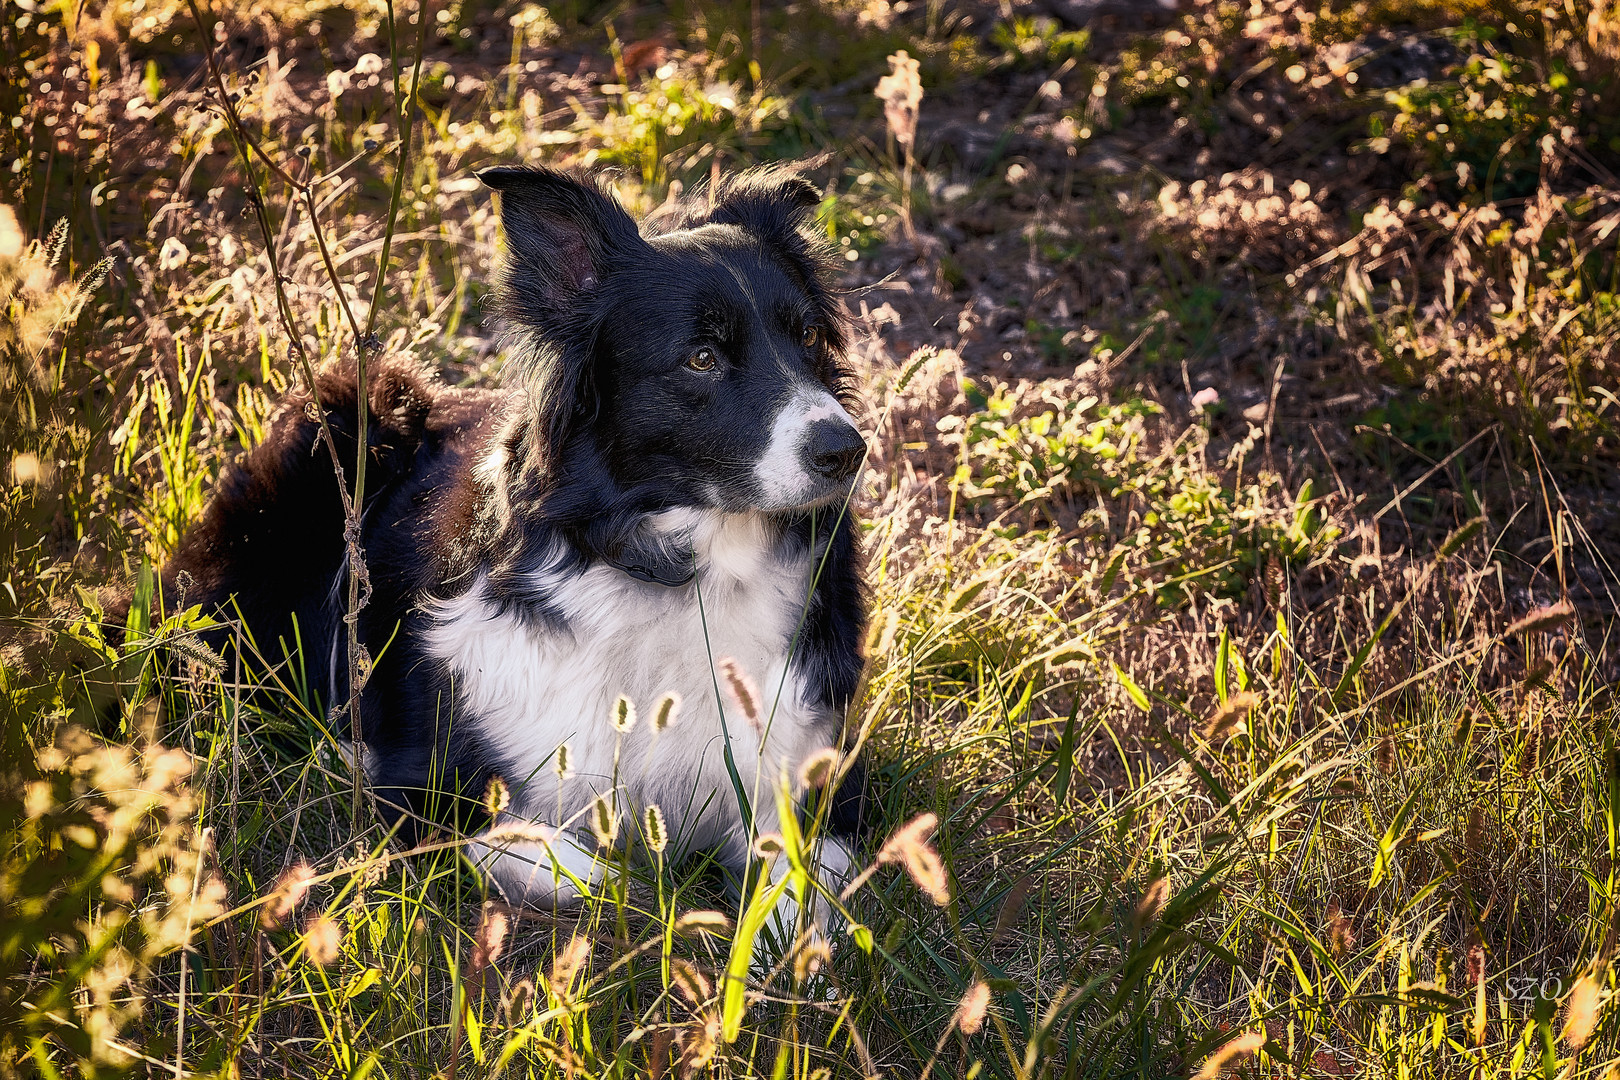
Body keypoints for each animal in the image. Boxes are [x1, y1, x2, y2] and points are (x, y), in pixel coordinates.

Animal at [161, 166, 874, 932]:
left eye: (809, 337)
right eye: (702, 358)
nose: (847, 450)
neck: (682, 576)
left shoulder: (813, 779)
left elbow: (805, 887)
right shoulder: (432, 789)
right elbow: (585, 875)